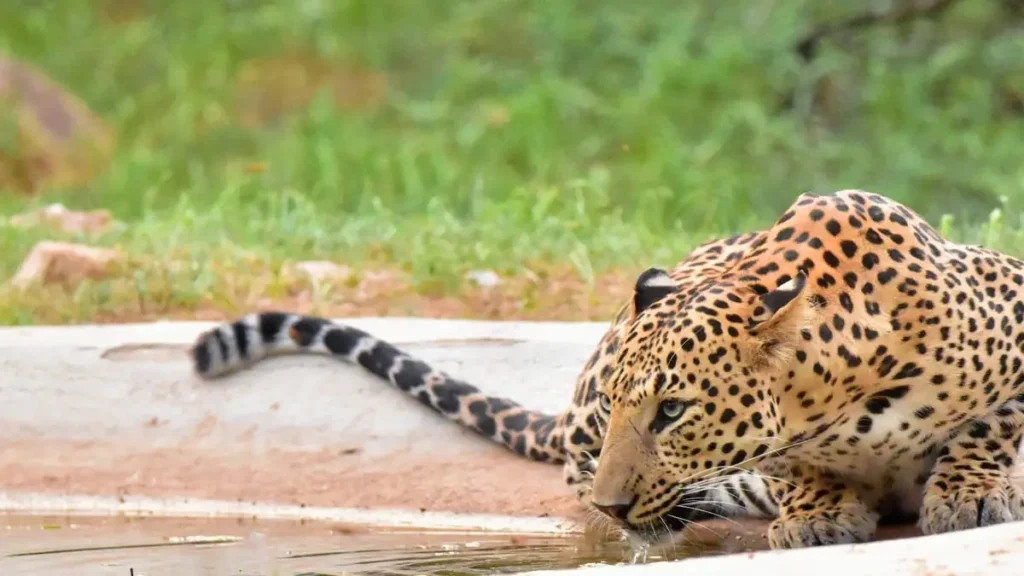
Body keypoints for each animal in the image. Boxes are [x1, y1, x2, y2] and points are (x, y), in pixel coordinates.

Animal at [589, 189, 1024, 550]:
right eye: (609, 403)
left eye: (672, 409)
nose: (608, 507)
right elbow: (795, 465)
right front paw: (818, 513)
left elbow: (994, 423)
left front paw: (967, 493)